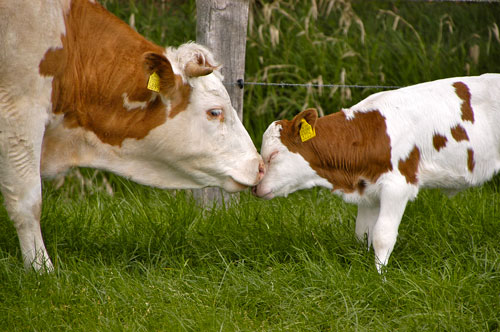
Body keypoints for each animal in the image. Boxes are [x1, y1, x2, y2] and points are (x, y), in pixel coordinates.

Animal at [254, 74, 500, 272]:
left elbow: (382, 236)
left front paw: (380, 278)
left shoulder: (397, 186)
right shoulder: (367, 190)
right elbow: (363, 234)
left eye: (273, 155)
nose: (256, 187)